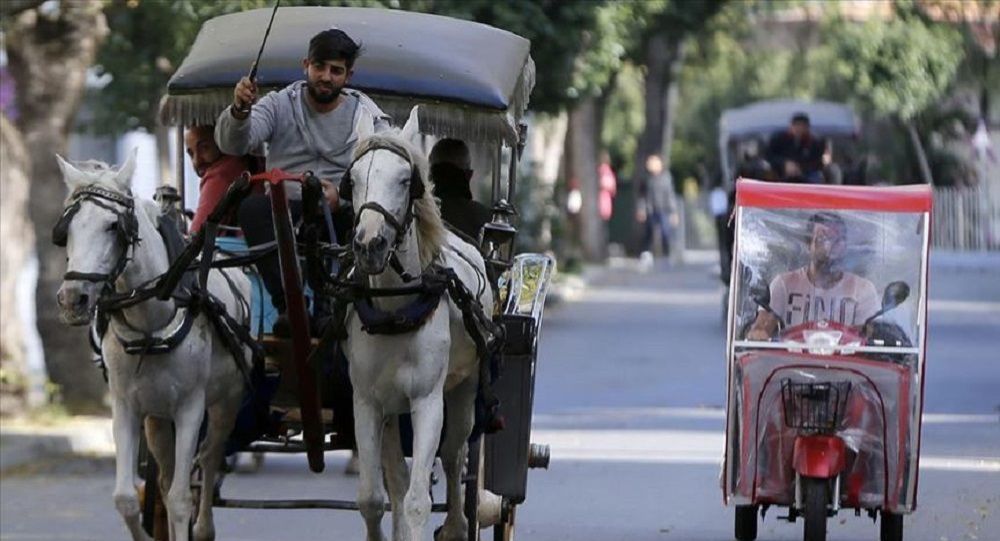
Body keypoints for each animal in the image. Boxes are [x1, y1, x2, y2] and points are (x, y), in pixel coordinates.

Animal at [54, 151, 250, 540]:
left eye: (112, 226)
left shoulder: (191, 407)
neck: (150, 323)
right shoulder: (127, 406)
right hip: (158, 417)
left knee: (210, 457)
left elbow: (180, 499)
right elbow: (127, 498)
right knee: (166, 476)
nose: (72, 300)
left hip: (226, 401)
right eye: (66, 230)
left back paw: (203, 527)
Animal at [346, 107, 494, 536]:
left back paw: (458, 525)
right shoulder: (366, 401)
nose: (369, 245)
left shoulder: (427, 401)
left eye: (404, 180)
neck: (396, 307)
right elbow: (373, 498)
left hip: (465, 390)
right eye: (352, 178)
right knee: (396, 478)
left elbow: (416, 502)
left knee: (455, 453)